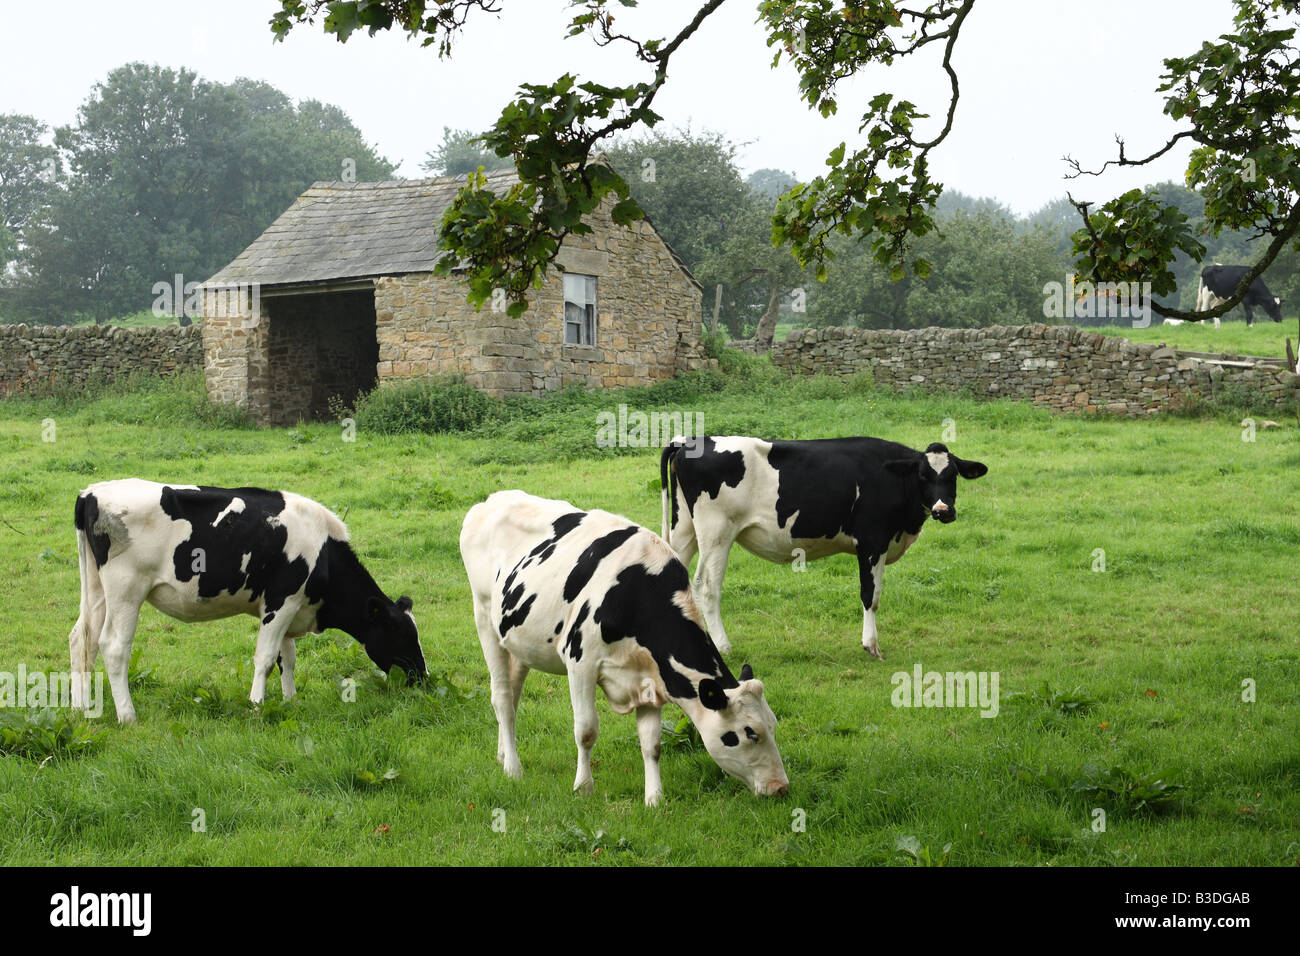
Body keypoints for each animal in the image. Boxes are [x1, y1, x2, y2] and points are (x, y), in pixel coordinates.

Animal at [69, 481, 426, 723]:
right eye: (402, 634)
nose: (423, 678)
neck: (322, 550)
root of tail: (92, 491)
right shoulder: (282, 601)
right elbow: (266, 658)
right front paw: (256, 706)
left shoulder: (288, 606)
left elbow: (287, 658)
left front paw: (290, 702)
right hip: (126, 590)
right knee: (113, 647)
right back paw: (127, 716)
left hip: (97, 590)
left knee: (81, 640)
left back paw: (81, 709)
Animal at [462, 489, 785, 806]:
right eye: (749, 734)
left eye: (773, 725)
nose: (780, 787)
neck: (638, 595)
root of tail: (489, 502)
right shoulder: (580, 662)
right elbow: (586, 731)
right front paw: (583, 787)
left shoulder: (650, 678)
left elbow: (652, 744)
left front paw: (654, 799)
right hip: (484, 617)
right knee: (503, 698)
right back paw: (513, 768)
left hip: (518, 641)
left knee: (513, 695)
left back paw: (503, 754)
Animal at [660, 439, 982, 658]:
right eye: (923, 476)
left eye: (953, 475)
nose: (943, 510)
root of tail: (690, 440)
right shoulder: (871, 542)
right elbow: (871, 596)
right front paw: (871, 645)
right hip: (716, 533)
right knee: (706, 587)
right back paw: (724, 646)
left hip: (685, 529)